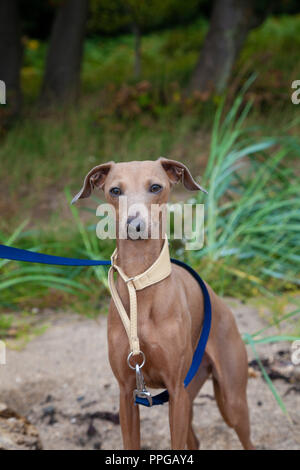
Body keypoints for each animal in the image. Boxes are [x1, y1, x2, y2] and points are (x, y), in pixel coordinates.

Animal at [72, 159, 253, 452]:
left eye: (155, 187)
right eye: (115, 190)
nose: (134, 225)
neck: (140, 284)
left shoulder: (176, 391)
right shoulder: (128, 393)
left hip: (230, 401)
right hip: (190, 394)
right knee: (195, 440)